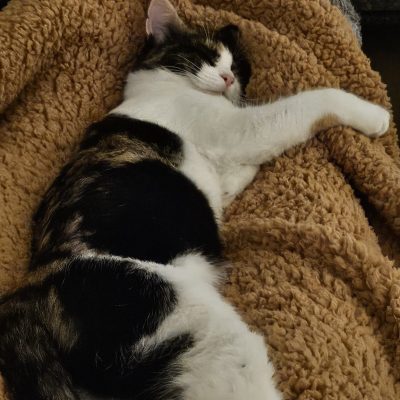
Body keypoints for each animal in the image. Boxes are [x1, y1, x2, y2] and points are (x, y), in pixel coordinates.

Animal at [0, 0, 390, 399]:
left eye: (237, 68)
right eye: (208, 55)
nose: (228, 79)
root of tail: (25, 301)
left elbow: (232, 178)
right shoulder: (239, 129)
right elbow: (308, 103)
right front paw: (375, 115)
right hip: (186, 318)